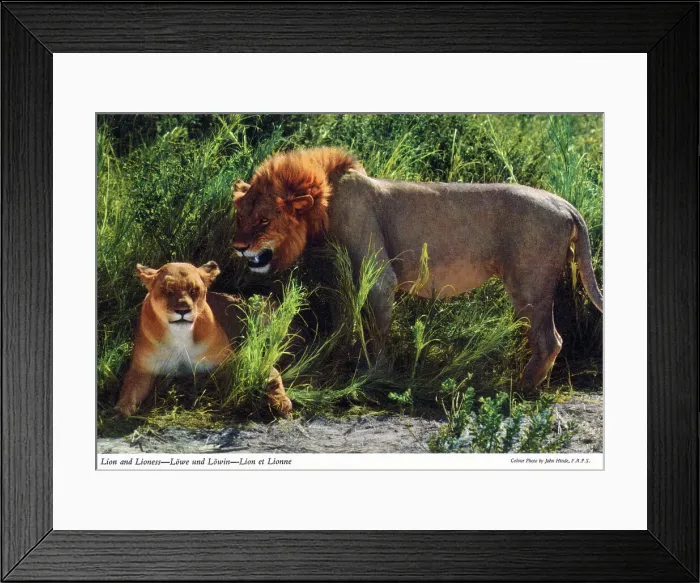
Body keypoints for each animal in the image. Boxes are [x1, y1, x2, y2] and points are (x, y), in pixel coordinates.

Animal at [114, 261, 292, 417]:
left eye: (194, 290)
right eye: (167, 290)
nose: (183, 310)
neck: (180, 337)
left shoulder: (231, 361)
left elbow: (271, 372)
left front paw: (281, 401)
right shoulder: (142, 369)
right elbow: (129, 387)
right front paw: (122, 407)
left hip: (264, 304)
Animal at [232, 147, 603, 393]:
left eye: (264, 220)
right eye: (240, 216)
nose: (237, 247)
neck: (325, 201)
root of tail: (566, 204)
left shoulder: (378, 274)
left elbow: (376, 329)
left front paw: (375, 374)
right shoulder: (343, 274)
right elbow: (343, 320)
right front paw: (333, 358)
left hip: (530, 286)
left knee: (550, 340)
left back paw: (522, 388)